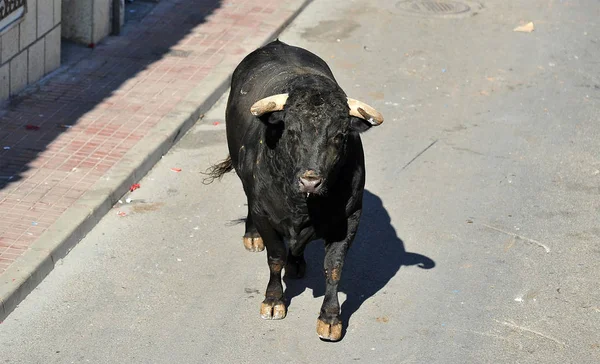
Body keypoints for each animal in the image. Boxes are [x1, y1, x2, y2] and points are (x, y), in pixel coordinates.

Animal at [206, 40, 384, 342]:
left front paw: (330, 318)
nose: (310, 181)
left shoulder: (350, 218)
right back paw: (252, 236)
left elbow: (334, 266)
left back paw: (297, 262)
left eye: (339, 136)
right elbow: (275, 257)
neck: (303, 204)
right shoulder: (265, 213)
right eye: (291, 132)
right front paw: (273, 300)